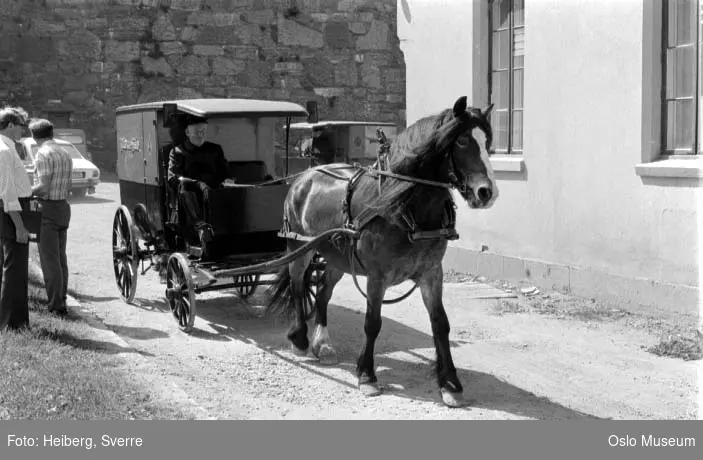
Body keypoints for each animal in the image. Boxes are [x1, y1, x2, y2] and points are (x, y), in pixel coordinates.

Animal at [266, 96, 500, 406]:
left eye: (488, 142)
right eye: (461, 140)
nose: (487, 192)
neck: (402, 203)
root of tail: (306, 175)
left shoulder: (431, 273)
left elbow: (440, 324)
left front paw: (450, 383)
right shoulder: (377, 276)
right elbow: (372, 323)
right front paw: (367, 375)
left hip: (338, 258)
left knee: (324, 292)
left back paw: (322, 343)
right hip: (300, 248)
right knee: (296, 286)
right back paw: (300, 339)